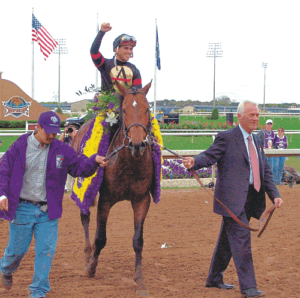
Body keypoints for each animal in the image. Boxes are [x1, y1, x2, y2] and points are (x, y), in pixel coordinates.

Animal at [71, 81, 154, 296]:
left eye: (147, 109)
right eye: (124, 110)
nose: (137, 144)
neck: (129, 163)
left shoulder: (142, 200)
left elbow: (138, 241)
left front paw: (139, 279)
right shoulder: (105, 200)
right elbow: (100, 238)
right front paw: (91, 269)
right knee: (84, 217)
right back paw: (87, 255)